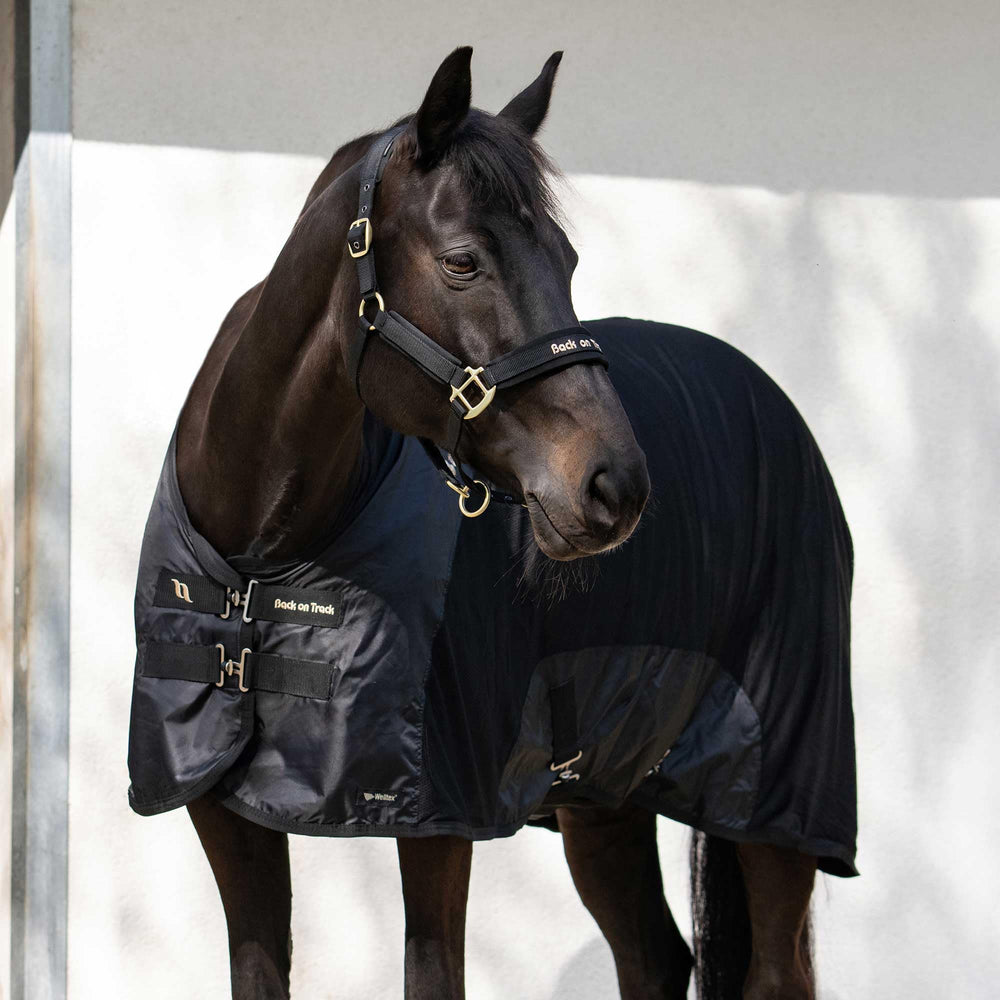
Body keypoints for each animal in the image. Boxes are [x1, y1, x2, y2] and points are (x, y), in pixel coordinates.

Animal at [127, 47, 856, 999]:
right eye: (464, 261)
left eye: (568, 259)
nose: (615, 486)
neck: (266, 555)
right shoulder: (222, 814)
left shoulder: (438, 822)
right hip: (603, 799)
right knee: (654, 956)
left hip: (775, 805)